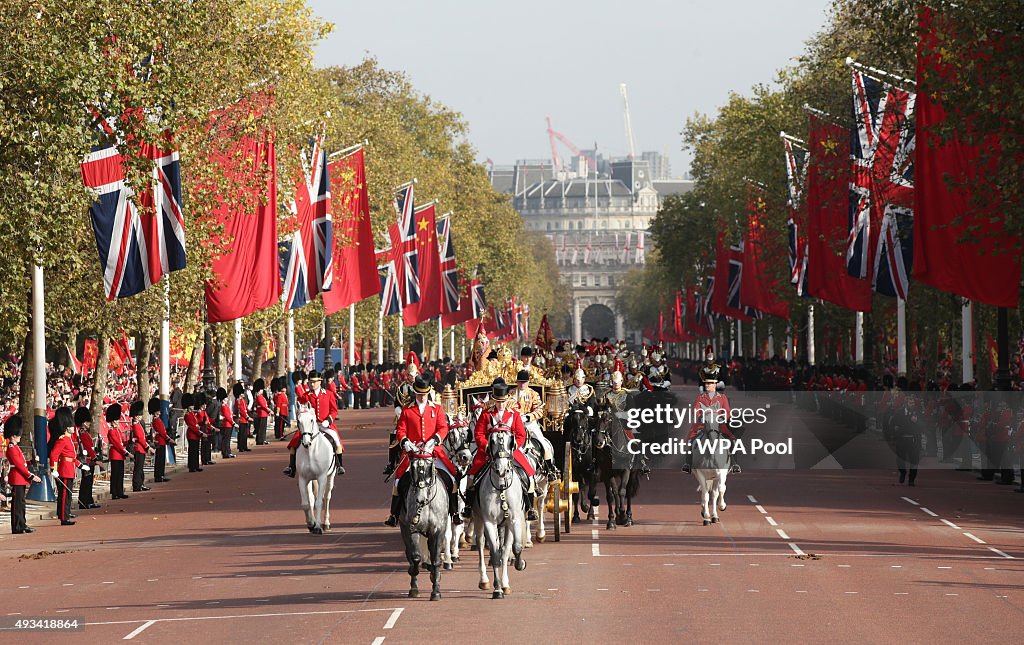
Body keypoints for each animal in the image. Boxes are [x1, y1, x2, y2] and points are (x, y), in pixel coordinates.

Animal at [399, 450, 448, 602]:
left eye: (428, 468)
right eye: (413, 469)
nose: (420, 500)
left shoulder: (438, 531)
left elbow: (436, 559)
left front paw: (436, 591)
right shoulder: (412, 529)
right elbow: (415, 557)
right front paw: (414, 581)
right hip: (404, 528)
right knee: (410, 554)